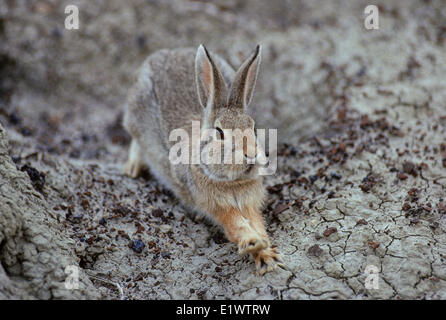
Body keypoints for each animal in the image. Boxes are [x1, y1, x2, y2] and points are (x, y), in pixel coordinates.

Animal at [123, 44, 282, 276]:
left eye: (253, 128)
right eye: (220, 132)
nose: (251, 154)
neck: (232, 182)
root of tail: (165, 53)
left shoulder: (250, 202)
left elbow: (257, 223)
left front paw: (267, 254)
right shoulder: (216, 206)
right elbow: (235, 225)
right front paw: (253, 242)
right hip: (137, 115)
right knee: (135, 139)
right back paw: (133, 168)